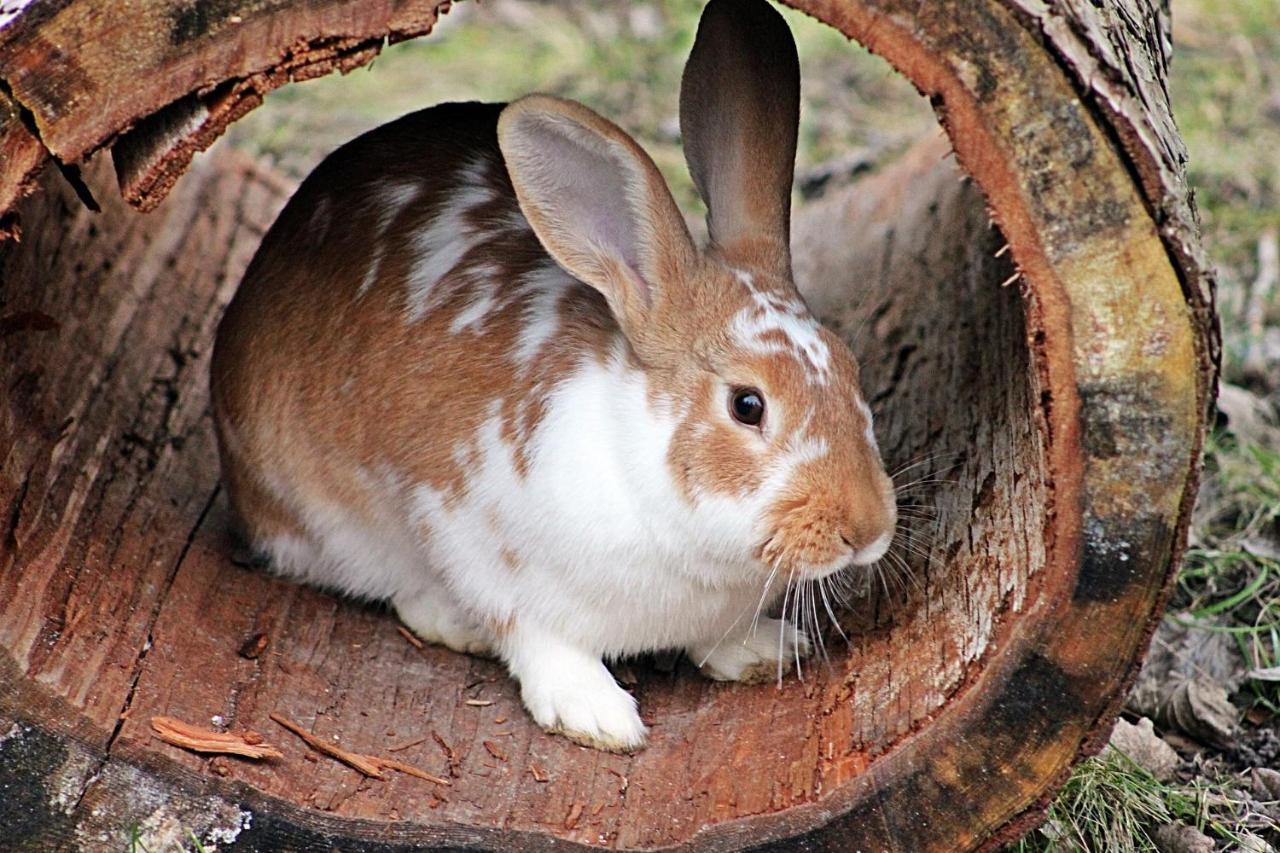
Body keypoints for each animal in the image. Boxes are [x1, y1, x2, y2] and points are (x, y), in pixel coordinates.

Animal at [209, 0, 896, 747]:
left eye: (850, 365)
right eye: (747, 404)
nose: (866, 528)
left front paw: (762, 650)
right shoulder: (481, 549)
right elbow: (538, 638)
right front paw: (598, 717)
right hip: (329, 519)